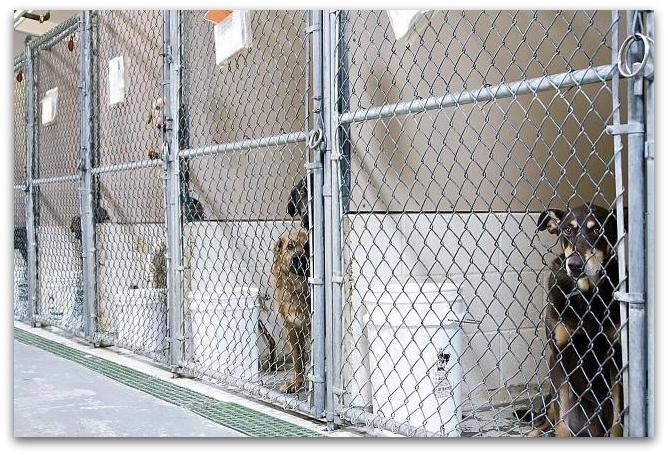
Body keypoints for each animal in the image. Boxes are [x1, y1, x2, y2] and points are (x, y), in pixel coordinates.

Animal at [529, 204, 623, 437]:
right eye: (567, 231)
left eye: (597, 230)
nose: (574, 265)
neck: (587, 296)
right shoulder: (560, 355)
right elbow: (562, 418)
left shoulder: (616, 356)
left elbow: (618, 419)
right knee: (546, 420)